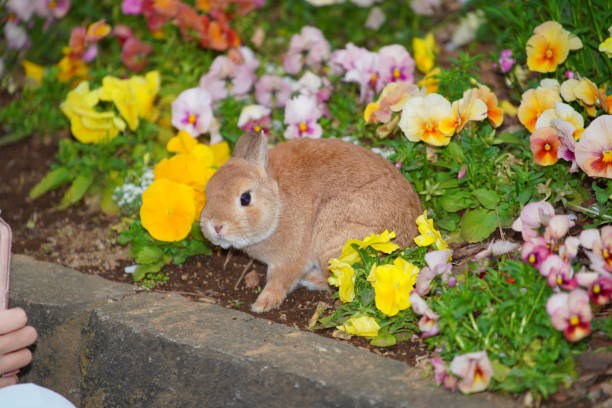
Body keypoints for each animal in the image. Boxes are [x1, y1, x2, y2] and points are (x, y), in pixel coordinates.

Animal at [198, 131, 424, 312]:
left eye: (245, 198)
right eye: (207, 194)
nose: (215, 225)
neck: (279, 202)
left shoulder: (290, 259)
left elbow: (279, 281)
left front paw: (262, 304)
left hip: (332, 246)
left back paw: (309, 279)